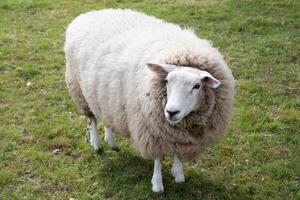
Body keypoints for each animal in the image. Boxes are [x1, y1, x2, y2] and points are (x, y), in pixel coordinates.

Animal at [64, 8, 236, 193]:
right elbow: (158, 159)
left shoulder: (177, 136)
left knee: (106, 117)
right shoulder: (152, 130)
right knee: (92, 119)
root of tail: (90, 13)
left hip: (104, 97)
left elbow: (177, 154)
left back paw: (110, 141)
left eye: (197, 86)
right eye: (167, 81)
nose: (171, 112)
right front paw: (157, 184)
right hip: (79, 90)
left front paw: (178, 173)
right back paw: (96, 144)